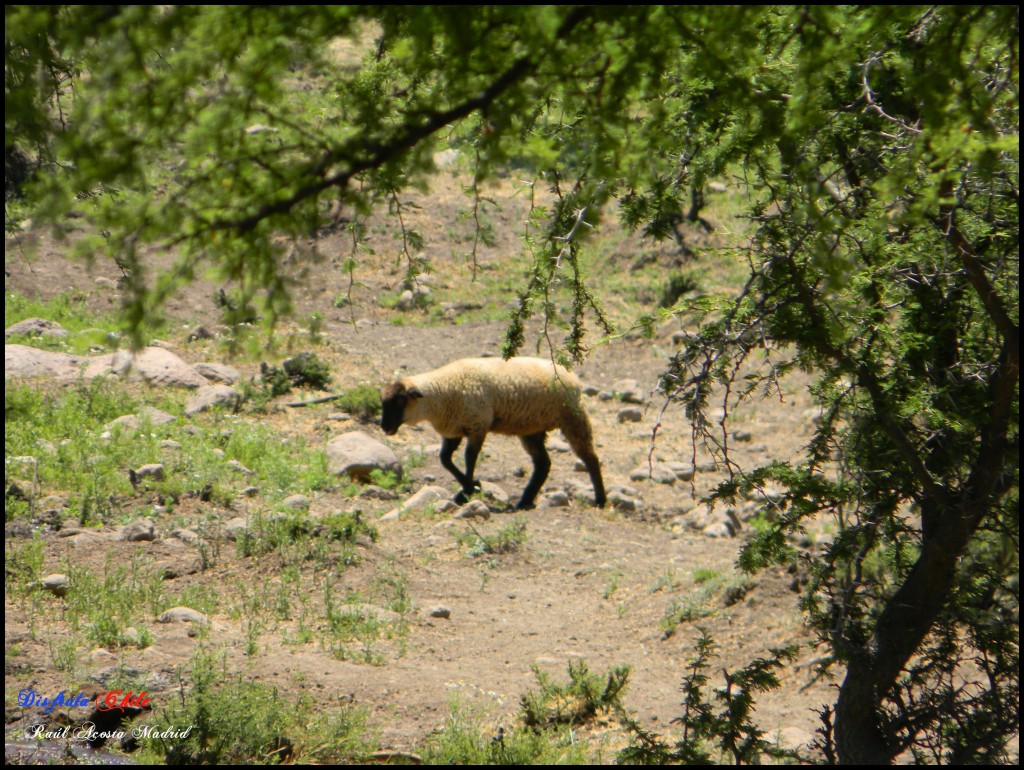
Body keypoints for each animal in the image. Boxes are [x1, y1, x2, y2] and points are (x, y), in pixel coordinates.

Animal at [385, 356, 606, 511]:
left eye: (400, 400)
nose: (385, 427)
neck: (440, 392)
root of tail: (572, 377)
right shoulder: (454, 430)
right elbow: (445, 459)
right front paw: (471, 486)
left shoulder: (478, 425)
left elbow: (469, 458)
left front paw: (468, 490)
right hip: (532, 428)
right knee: (543, 464)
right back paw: (524, 501)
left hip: (573, 418)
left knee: (590, 458)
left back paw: (601, 499)